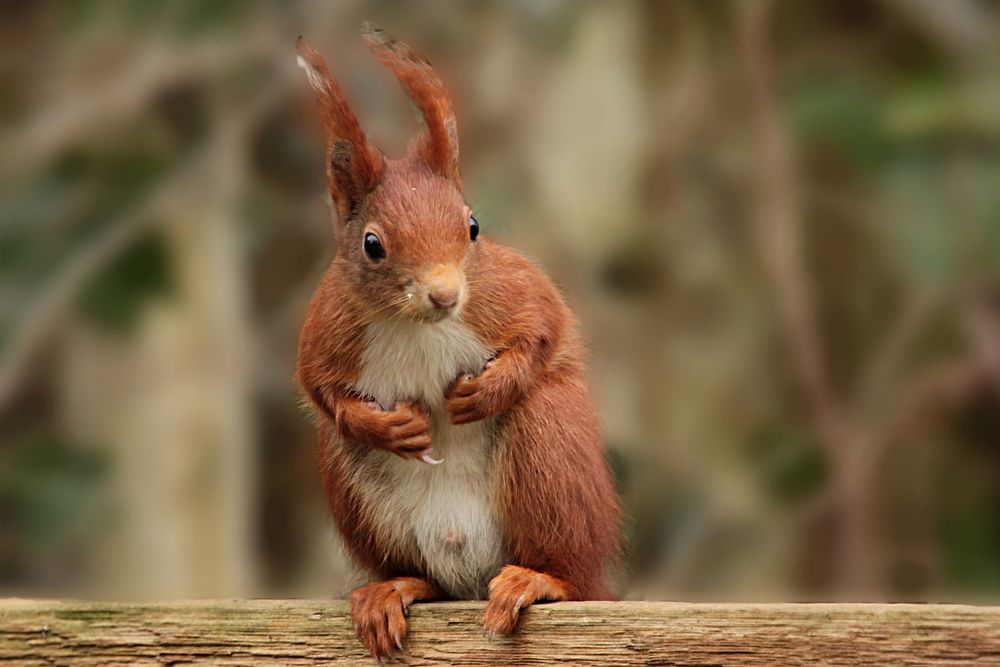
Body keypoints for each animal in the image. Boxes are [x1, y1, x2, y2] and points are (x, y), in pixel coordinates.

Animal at [295, 22, 620, 661]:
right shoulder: (326, 329)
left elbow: (544, 329)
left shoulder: (511, 290)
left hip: (549, 450)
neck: (417, 324)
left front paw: (487, 391)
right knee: (425, 577)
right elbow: (322, 392)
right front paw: (390, 427)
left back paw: (541, 578)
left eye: (473, 227)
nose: (445, 295)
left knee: (568, 569)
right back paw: (395, 588)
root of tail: (473, 572)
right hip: (357, 493)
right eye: (372, 245)